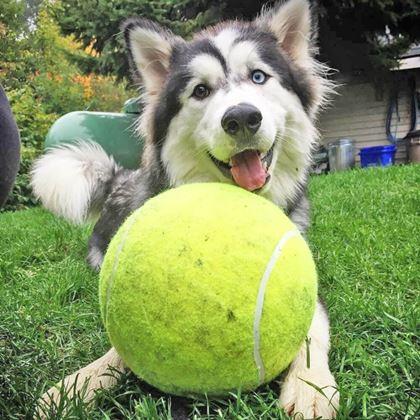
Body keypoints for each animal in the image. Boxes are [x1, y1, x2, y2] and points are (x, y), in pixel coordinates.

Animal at [33, 0, 342, 416]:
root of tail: (123, 179)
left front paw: (311, 386)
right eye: (200, 90)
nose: (241, 117)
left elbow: (313, 327)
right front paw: (79, 383)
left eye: (259, 76)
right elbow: (117, 349)